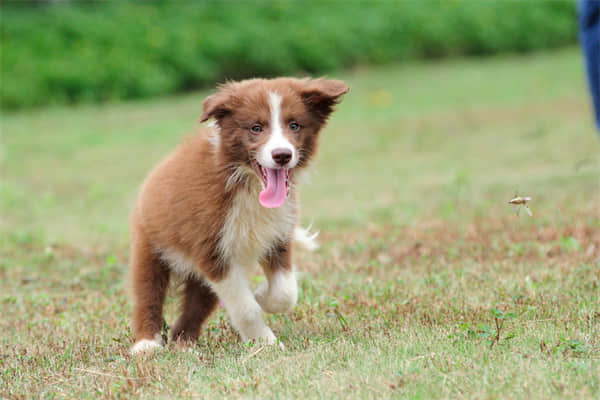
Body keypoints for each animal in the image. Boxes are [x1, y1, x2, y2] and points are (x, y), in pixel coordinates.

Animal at [129, 77, 350, 354]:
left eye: (294, 125)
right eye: (256, 128)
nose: (282, 155)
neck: (249, 184)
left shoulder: (278, 235)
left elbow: (286, 292)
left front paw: (261, 295)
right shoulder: (211, 248)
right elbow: (245, 308)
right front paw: (265, 342)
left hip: (201, 278)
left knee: (197, 302)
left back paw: (183, 342)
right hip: (150, 243)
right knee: (148, 292)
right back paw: (146, 344)